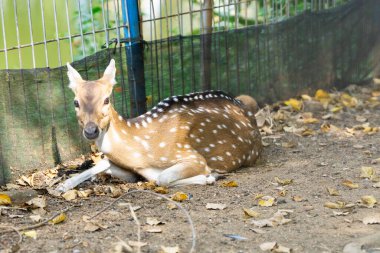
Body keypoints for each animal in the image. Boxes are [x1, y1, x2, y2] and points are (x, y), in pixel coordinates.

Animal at [55, 59, 262, 194]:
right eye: (75, 102)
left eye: (106, 99)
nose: (91, 130)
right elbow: (104, 163)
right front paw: (61, 186)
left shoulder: (192, 156)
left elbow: (162, 178)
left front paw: (210, 176)